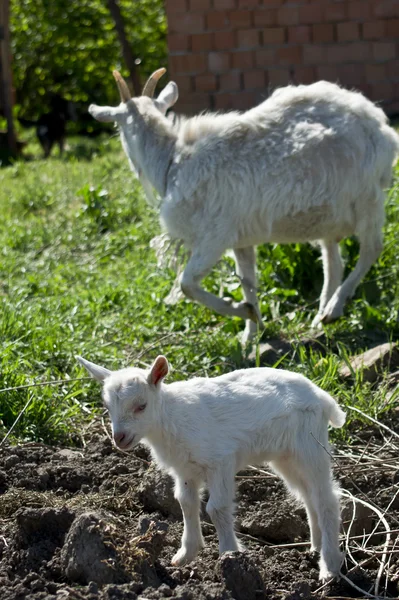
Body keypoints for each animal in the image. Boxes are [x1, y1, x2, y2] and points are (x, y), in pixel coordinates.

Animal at [90, 69, 399, 342]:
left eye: (116, 125)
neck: (173, 160)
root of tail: (380, 125)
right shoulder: (241, 239)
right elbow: (247, 281)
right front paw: (252, 331)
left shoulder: (214, 236)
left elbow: (187, 284)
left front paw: (241, 311)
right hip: (331, 213)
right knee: (333, 262)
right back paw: (320, 316)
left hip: (367, 198)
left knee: (371, 249)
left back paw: (334, 309)